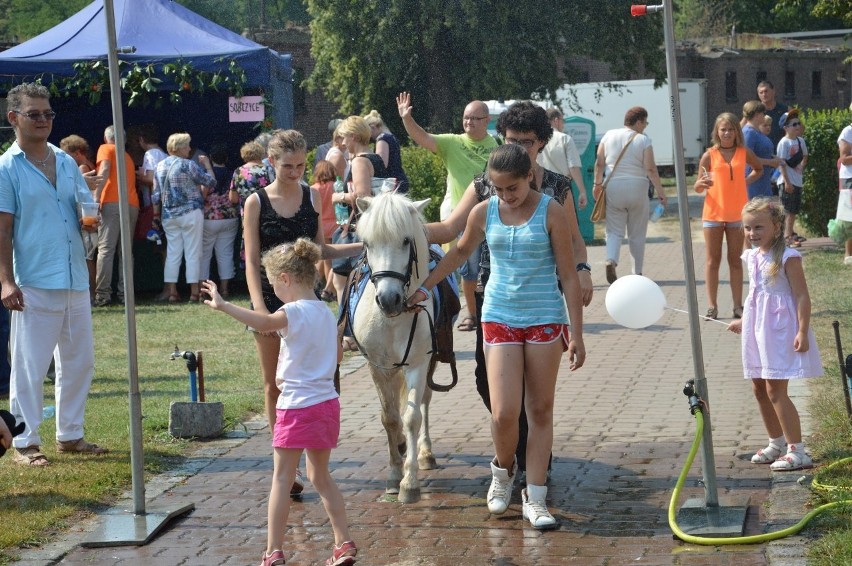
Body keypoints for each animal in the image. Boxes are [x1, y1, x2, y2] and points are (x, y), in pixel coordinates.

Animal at [350, 193, 436, 504]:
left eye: (406, 240)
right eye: (367, 243)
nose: (388, 299)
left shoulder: (419, 364)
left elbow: (411, 417)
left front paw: (409, 483)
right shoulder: (378, 366)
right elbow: (389, 418)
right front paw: (394, 473)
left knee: (424, 401)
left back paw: (424, 452)